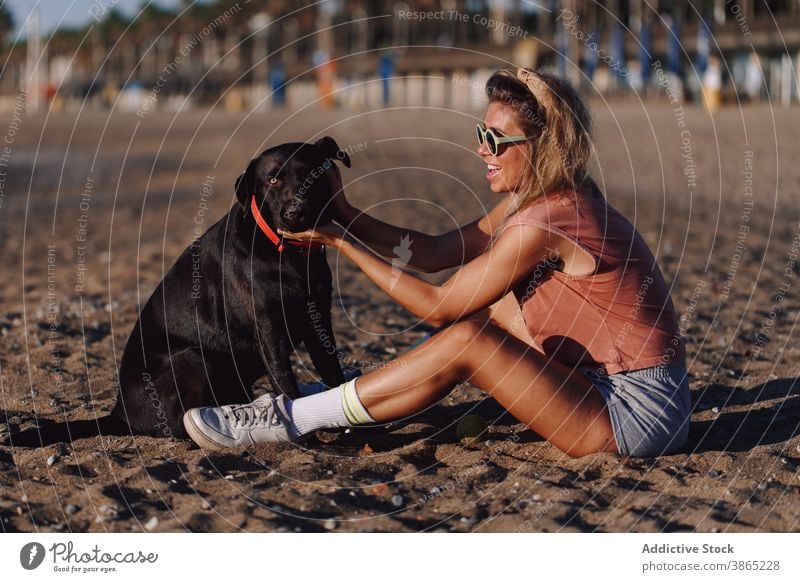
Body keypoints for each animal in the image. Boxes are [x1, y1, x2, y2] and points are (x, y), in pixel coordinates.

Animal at [5, 137, 350, 448]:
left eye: (311, 173)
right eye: (273, 179)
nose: (296, 213)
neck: (287, 253)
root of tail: (119, 414)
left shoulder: (318, 320)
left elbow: (333, 374)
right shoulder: (270, 329)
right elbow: (287, 385)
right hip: (194, 359)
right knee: (181, 424)